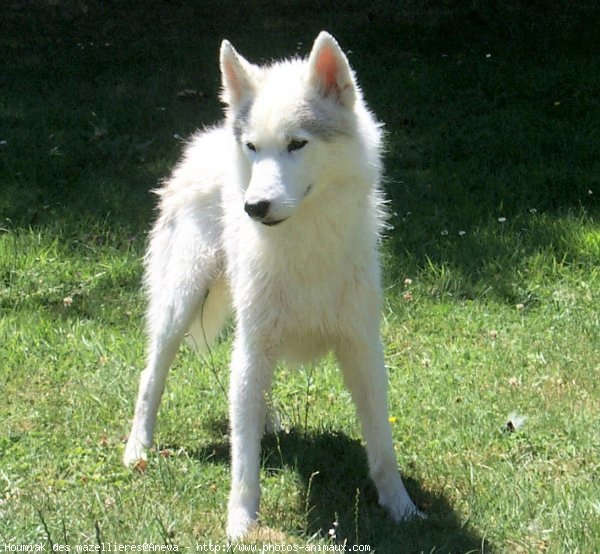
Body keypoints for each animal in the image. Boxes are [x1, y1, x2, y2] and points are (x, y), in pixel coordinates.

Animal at [124, 31, 420, 540]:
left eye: (297, 144)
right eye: (253, 148)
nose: (253, 207)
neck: (305, 242)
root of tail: (206, 137)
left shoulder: (362, 350)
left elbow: (382, 445)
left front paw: (402, 509)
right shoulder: (253, 344)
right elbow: (244, 463)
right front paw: (240, 524)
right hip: (180, 306)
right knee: (151, 377)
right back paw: (137, 449)